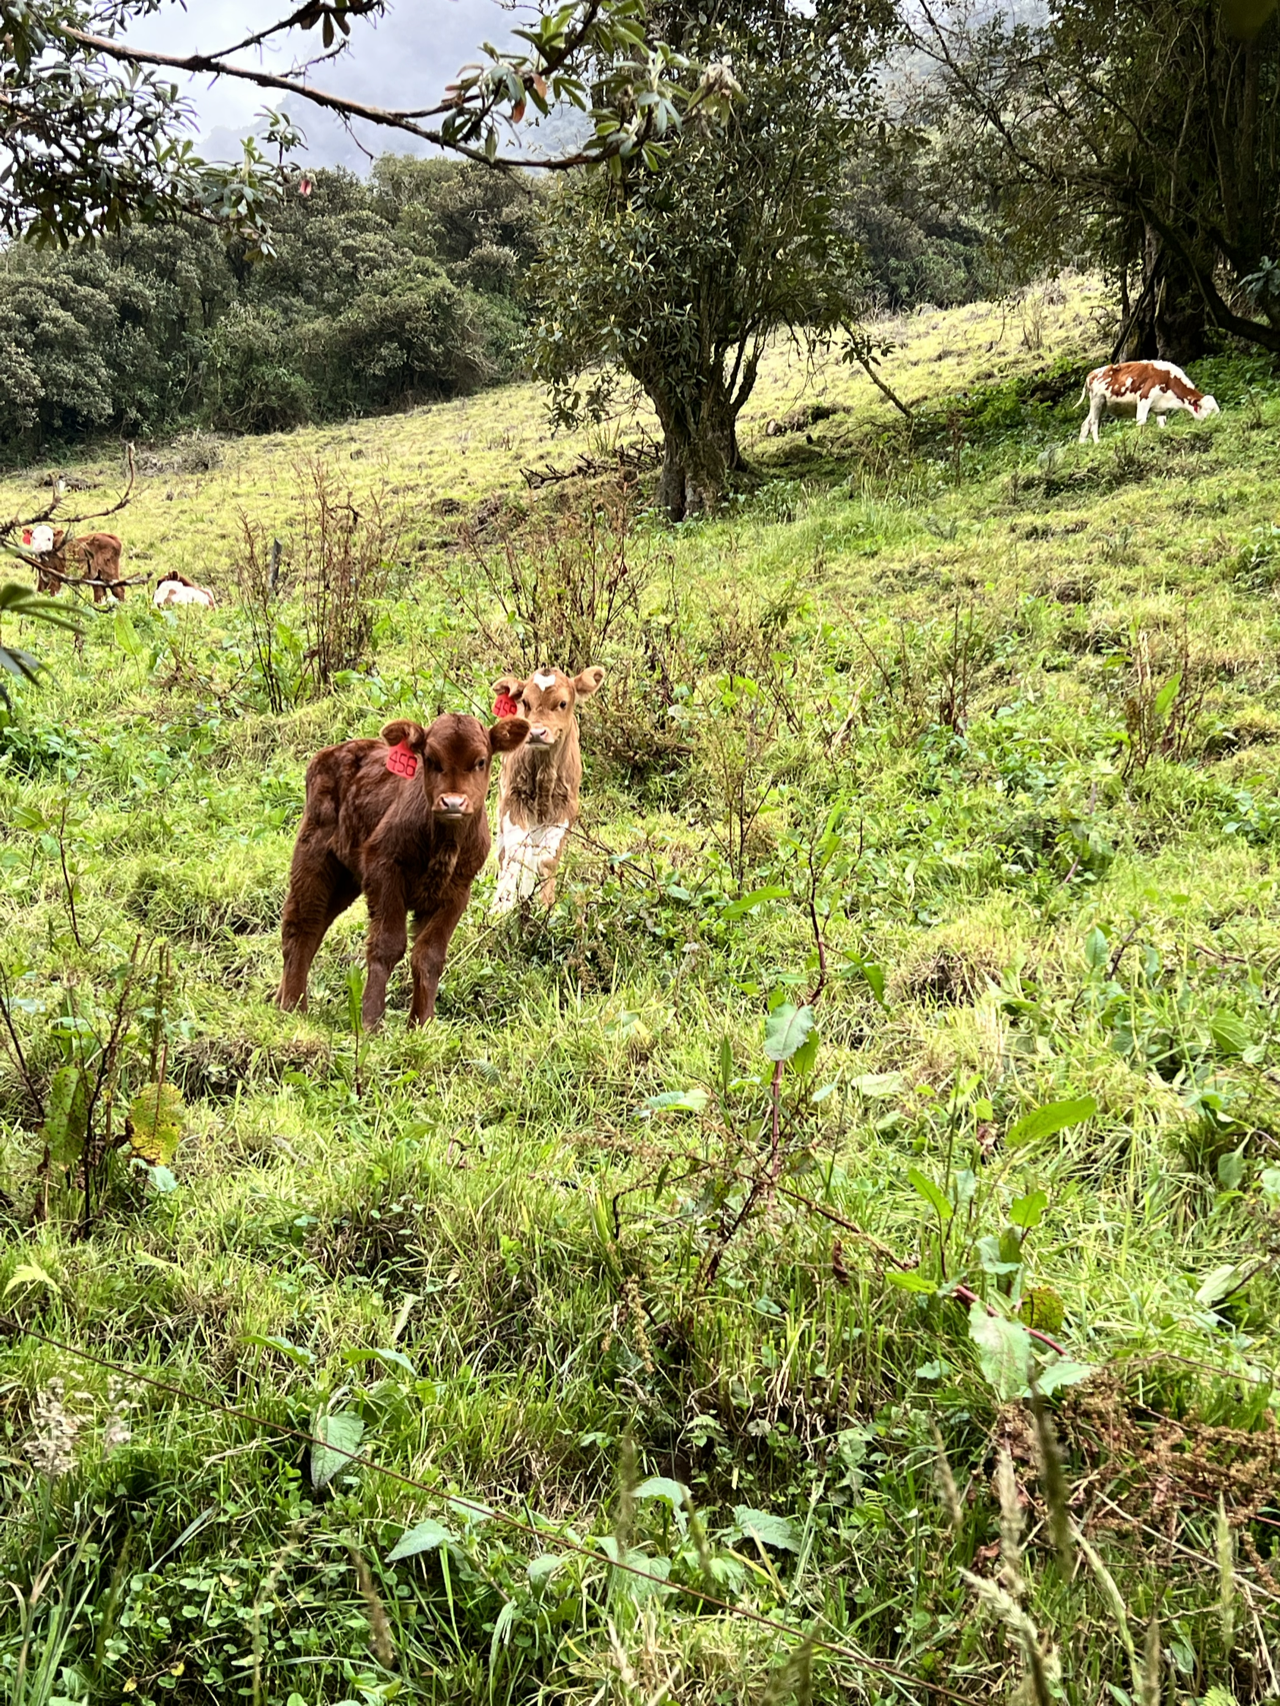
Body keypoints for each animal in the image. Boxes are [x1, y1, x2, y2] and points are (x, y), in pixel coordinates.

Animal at [276, 711, 530, 1028]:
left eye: (481, 761)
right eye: (431, 759)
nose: (453, 802)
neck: (443, 844)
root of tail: (331, 751)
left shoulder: (457, 891)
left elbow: (429, 955)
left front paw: (423, 1024)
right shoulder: (384, 868)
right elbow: (388, 944)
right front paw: (371, 1021)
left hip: (345, 879)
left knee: (317, 925)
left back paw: (280, 1000)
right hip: (314, 853)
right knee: (302, 925)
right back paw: (293, 1006)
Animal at [489, 665, 605, 912]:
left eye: (562, 703)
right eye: (525, 702)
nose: (536, 732)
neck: (544, 775)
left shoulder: (566, 808)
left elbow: (546, 859)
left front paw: (544, 905)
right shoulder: (513, 800)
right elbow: (514, 855)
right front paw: (501, 907)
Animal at [1078, 361, 1219, 444]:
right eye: (1209, 411)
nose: (1217, 423)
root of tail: (1091, 374)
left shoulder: (1161, 409)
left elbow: (1162, 425)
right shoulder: (1144, 398)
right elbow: (1141, 422)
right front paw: (1140, 440)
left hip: (1102, 405)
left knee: (1085, 424)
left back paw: (1082, 445)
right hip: (1097, 400)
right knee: (1094, 423)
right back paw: (1097, 443)